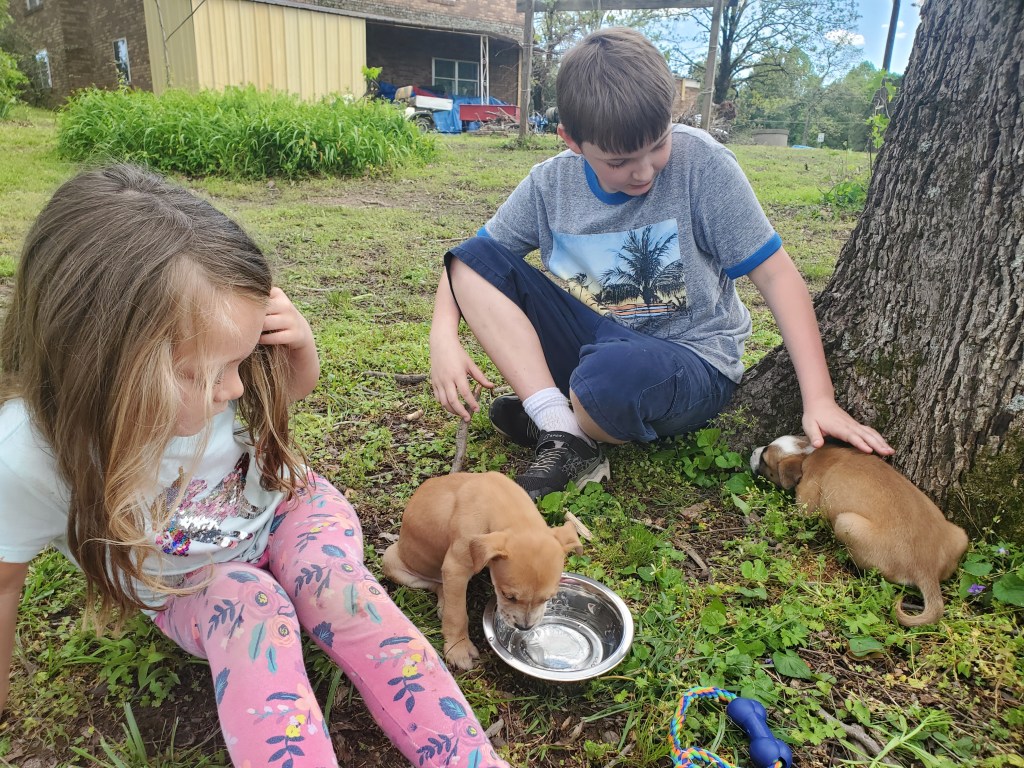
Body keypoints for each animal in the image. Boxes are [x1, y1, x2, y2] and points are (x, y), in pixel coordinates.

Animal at [382, 471, 583, 670]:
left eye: (548, 598)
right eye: (508, 596)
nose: (524, 627)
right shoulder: (455, 568)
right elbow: (457, 615)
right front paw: (458, 649)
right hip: (392, 561)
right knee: (438, 586)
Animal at [750, 436, 968, 626]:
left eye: (764, 457)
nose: (752, 451)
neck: (808, 453)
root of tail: (927, 570)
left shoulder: (806, 504)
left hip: (845, 522)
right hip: (960, 535)